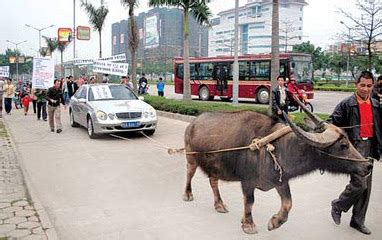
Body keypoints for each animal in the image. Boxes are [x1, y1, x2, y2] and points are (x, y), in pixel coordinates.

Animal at [184, 109, 372, 234]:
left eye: (349, 141)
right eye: (343, 145)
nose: (368, 165)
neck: (275, 148)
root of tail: (193, 123)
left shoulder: (281, 180)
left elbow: (288, 203)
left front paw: (275, 222)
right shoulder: (247, 181)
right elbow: (249, 202)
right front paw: (248, 224)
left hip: (214, 166)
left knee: (213, 181)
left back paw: (220, 204)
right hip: (190, 158)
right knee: (190, 174)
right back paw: (188, 194)